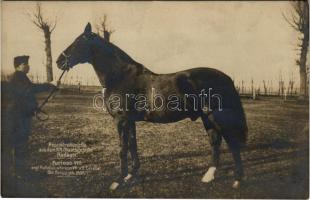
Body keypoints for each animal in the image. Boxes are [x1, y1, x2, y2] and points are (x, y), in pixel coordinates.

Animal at [57, 23, 248, 189]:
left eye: (77, 42)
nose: (59, 61)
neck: (120, 76)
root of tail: (227, 78)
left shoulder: (120, 120)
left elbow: (122, 149)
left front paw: (118, 181)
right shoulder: (130, 121)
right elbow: (132, 145)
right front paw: (131, 175)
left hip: (218, 117)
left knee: (232, 144)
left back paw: (238, 180)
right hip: (206, 117)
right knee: (215, 142)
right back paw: (209, 177)